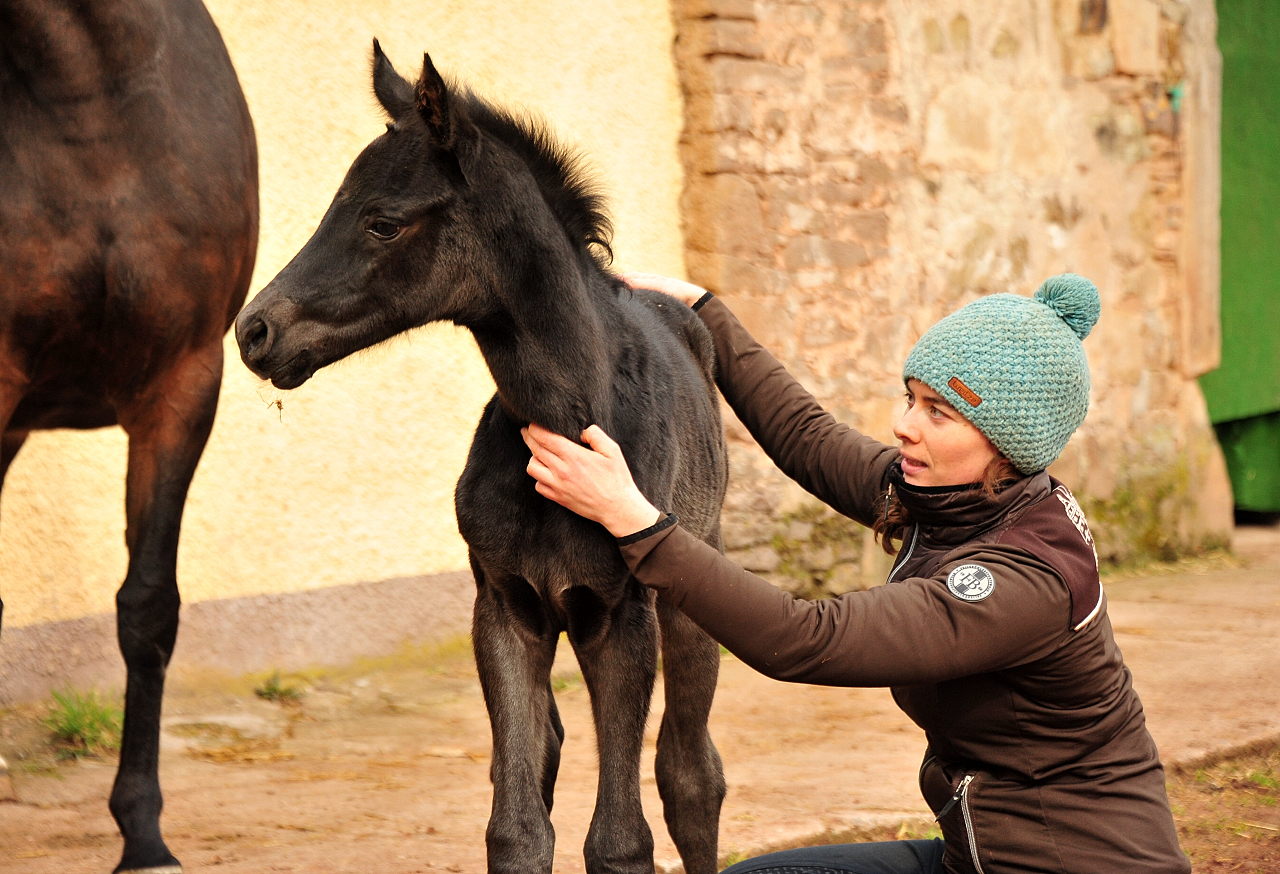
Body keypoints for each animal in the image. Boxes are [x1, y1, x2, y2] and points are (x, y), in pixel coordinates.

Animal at [235, 44, 727, 874]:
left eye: (382, 221)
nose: (254, 332)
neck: (569, 431)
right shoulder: (503, 609)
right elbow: (517, 828)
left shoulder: (621, 617)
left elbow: (621, 839)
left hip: (692, 600)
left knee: (691, 774)